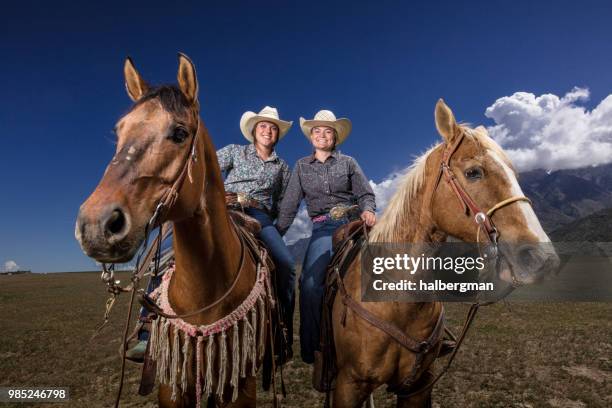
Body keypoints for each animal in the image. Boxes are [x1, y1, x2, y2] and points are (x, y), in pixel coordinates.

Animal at [74, 53, 266, 404]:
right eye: (118, 132)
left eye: (179, 132)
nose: (95, 224)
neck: (207, 293)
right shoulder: (171, 385)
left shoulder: (241, 386)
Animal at [330, 99, 560, 408]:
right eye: (474, 172)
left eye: (515, 174)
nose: (543, 259)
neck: (397, 300)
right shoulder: (349, 384)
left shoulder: (418, 387)